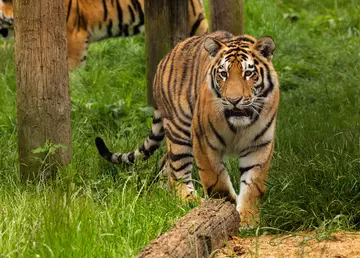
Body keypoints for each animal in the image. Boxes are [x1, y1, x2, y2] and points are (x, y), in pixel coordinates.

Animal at [96, 31, 282, 227]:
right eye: (223, 74)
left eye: (248, 73)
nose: (233, 100)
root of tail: (166, 58)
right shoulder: (203, 140)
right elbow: (215, 179)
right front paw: (226, 205)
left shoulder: (259, 145)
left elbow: (254, 185)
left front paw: (248, 219)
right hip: (179, 131)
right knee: (177, 174)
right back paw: (191, 201)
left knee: (165, 164)